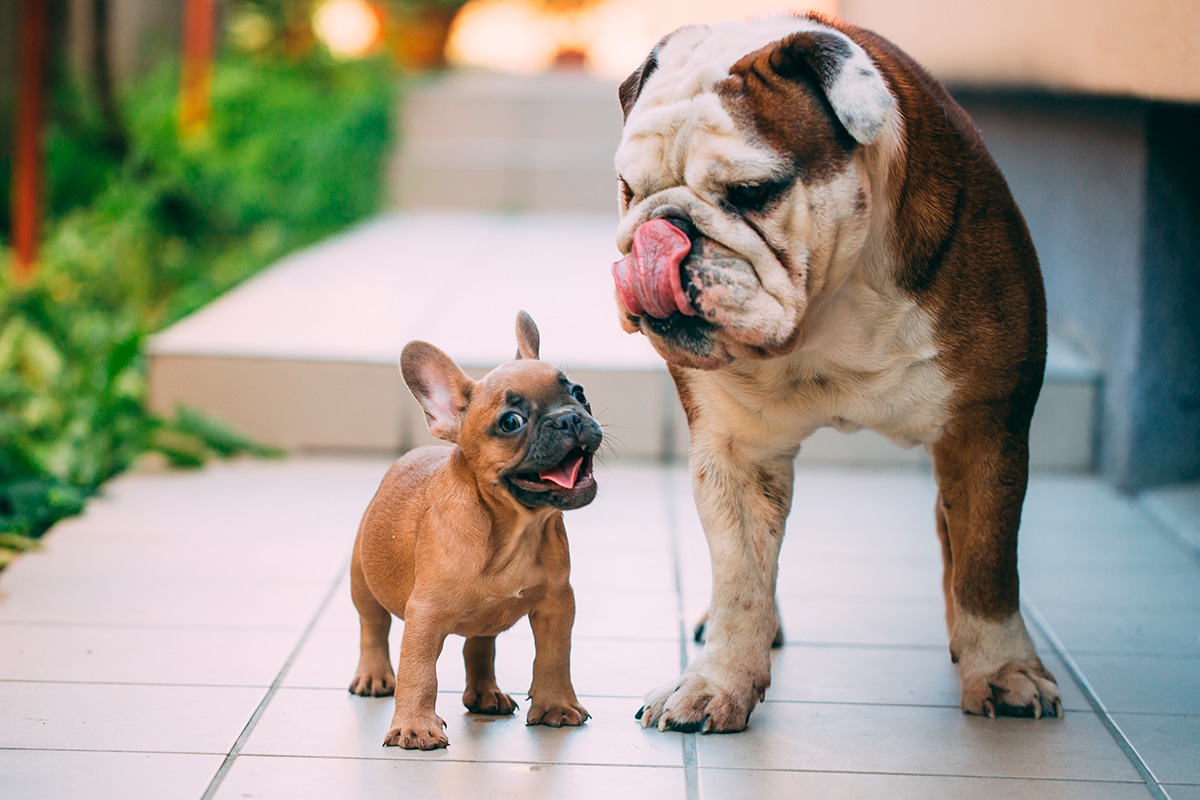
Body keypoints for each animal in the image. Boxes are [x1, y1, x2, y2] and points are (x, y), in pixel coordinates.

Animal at [350, 311, 604, 753]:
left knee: (480, 645)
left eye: (578, 392)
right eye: (511, 422)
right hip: (362, 579)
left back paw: (486, 694)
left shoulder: (557, 603)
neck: (514, 530)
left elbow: (555, 656)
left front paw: (555, 705)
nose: (569, 417)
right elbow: (419, 672)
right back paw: (374, 675)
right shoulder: (425, 615)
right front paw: (416, 727)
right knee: (373, 627)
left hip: (485, 618)